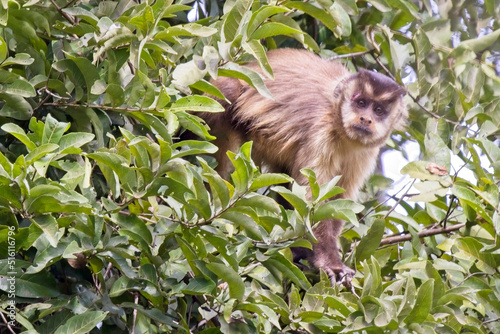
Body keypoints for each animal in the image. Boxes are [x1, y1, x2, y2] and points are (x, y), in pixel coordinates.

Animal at [198, 48, 406, 284]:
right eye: (360, 103)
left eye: (378, 110)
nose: (365, 119)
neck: (338, 125)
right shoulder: (320, 133)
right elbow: (311, 201)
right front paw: (330, 263)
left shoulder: (366, 153)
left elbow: (337, 200)